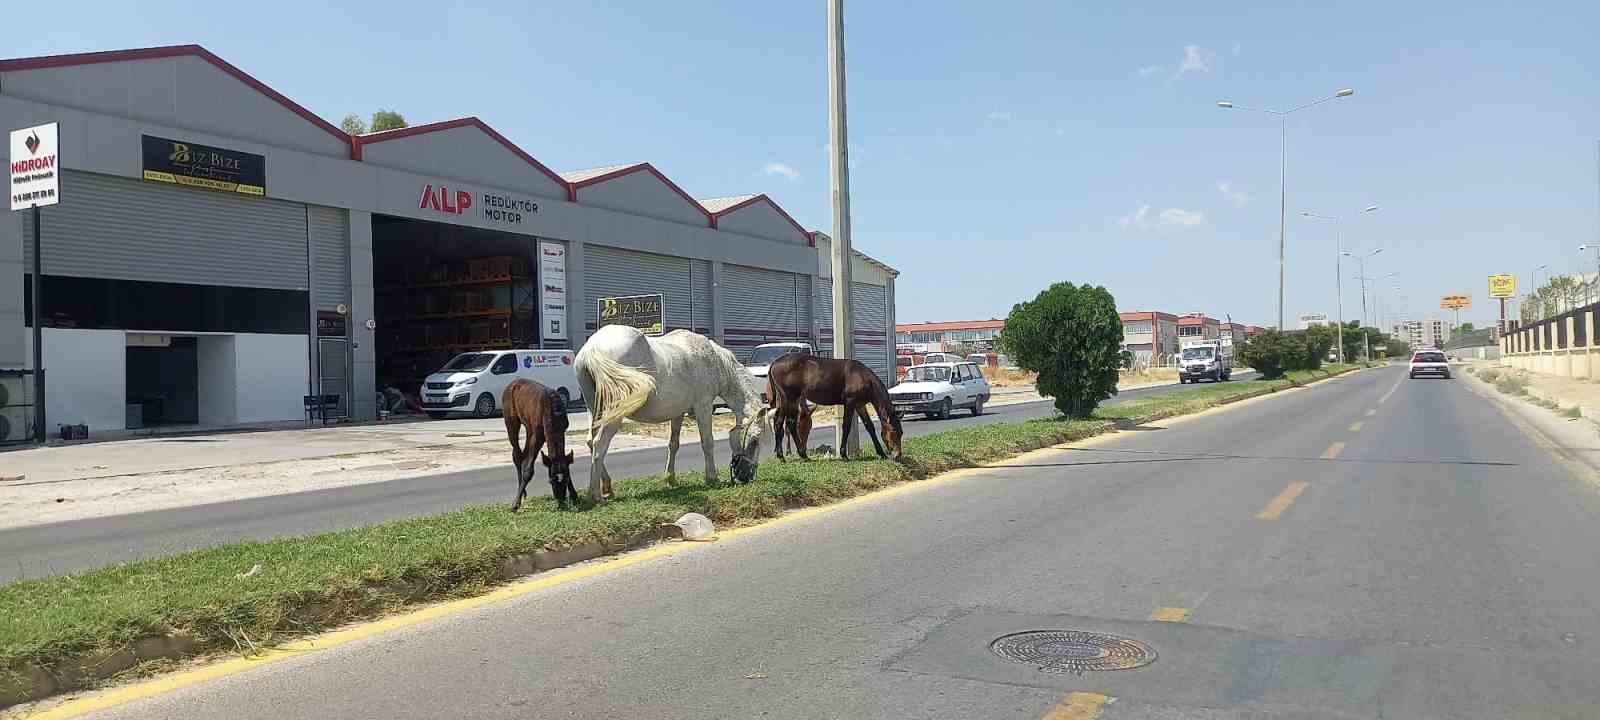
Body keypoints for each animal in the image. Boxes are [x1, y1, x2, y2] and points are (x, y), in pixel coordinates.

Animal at [502, 377, 579, 512]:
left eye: (565, 481)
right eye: (551, 481)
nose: (561, 501)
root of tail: (512, 384)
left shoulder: (562, 429)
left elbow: (566, 462)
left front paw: (574, 496)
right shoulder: (538, 435)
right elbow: (529, 470)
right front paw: (515, 504)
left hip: (529, 427)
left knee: (523, 454)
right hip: (511, 420)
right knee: (517, 454)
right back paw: (521, 493)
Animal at [576, 323, 774, 502]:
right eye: (755, 440)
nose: (746, 476)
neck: (716, 362)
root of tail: (592, 349)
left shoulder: (679, 413)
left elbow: (674, 444)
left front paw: (670, 478)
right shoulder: (703, 407)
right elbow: (707, 442)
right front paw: (712, 478)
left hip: (595, 410)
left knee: (591, 442)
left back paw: (607, 487)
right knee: (599, 444)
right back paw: (596, 495)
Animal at [761, 353, 902, 460]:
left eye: (901, 432)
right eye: (894, 432)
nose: (898, 455)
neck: (862, 377)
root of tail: (774, 363)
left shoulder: (859, 405)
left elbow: (870, 426)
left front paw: (881, 453)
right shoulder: (850, 403)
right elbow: (846, 426)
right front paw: (844, 454)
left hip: (785, 399)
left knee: (780, 423)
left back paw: (784, 455)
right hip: (789, 397)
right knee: (789, 423)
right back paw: (799, 454)